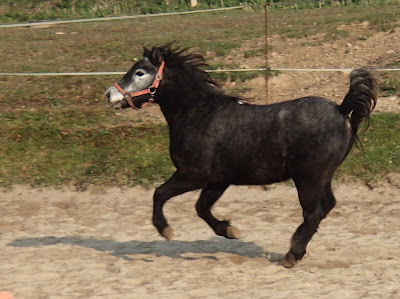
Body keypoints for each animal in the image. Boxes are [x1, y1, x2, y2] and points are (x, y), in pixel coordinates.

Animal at [103, 43, 376, 268]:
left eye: (140, 73)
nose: (109, 95)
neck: (199, 114)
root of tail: (341, 109)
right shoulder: (218, 180)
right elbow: (201, 208)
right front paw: (230, 230)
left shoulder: (193, 175)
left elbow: (159, 193)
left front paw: (166, 230)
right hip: (322, 177)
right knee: (326, 206)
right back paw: (295, 244)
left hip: (308, 178)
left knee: (313, 213)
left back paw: (292, 254)